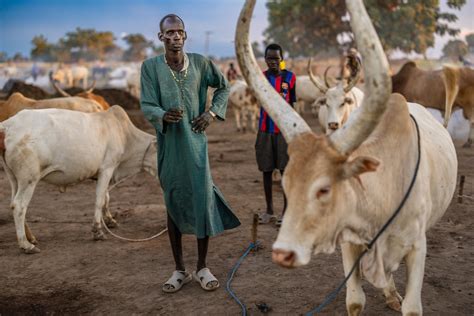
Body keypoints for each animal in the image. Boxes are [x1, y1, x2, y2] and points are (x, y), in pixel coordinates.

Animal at [0, 107, 158, 254]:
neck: (125, 135)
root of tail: (7, 125)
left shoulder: (101, 173)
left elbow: (106, 198)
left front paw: (110, 220)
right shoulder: (107, 167)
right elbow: (99, 200)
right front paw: (98, 231)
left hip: (14, 178)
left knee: (13, 204)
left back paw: (31, 238)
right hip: (29, 179)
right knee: (19, 206)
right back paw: (26, 245)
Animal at [239, 0, 458, 316]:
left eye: (324, 189)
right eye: (286, 186)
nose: (282, 252)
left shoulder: (418, 246)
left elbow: (412, 307)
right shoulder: (349, 244)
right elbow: (355, 301)